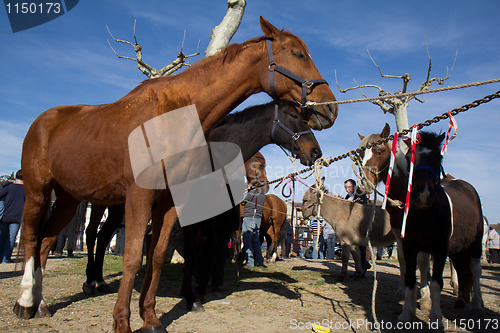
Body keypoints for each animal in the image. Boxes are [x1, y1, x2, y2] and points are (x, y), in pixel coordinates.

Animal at [15, 18, 338, 332]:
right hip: (39, 192)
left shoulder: (171, 200)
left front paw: (151, 318)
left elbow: (158, 254)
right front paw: (124, 321)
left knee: (47, 241)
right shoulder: (143, 197)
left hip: (69, 199)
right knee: (39, 237)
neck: (172, 117)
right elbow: (135, 255)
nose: (330, 108)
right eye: (298, 54)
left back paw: (42, 303)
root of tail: (43, 120)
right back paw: (28, 300)